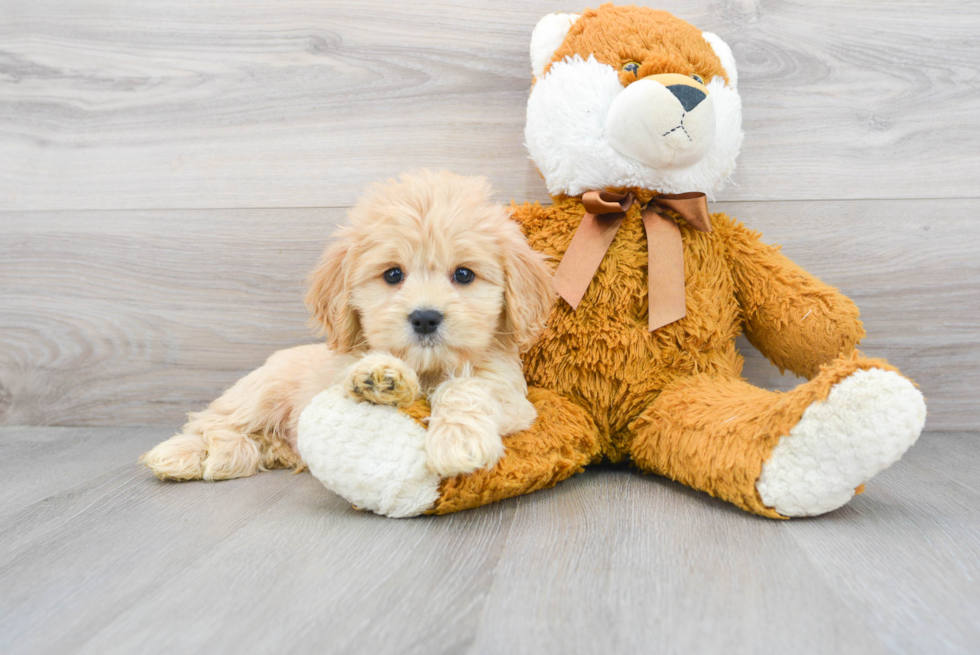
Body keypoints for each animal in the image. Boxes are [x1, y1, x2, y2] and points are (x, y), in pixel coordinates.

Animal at [139, 172, 556, 482]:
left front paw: (457, 440)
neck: (428, 369)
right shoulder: (333, 381)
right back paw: (180, 454)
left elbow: (466, 388)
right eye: (392, 275)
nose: (425, 317)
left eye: (464, 275)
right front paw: (381, 375)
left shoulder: (511, 396)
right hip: (259, 394)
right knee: (212, 422)